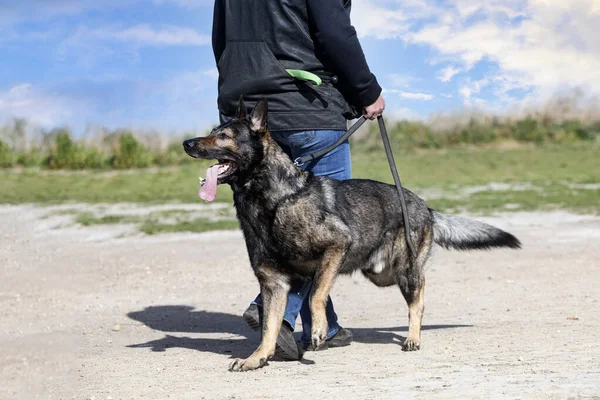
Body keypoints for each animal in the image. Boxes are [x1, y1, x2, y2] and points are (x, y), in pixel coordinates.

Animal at [183, 99, 520, 372]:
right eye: (214, 131)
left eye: (224, 136)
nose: (186, 143)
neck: (276, 199)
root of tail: (424, 204)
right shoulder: (274, 284)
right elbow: (269, 326)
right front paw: (258, 358)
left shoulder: (336, 246)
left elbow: (316, 295)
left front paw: (318, 330)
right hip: (381, 273)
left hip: (403, 269)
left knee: (418, 295)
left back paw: (413, 336)